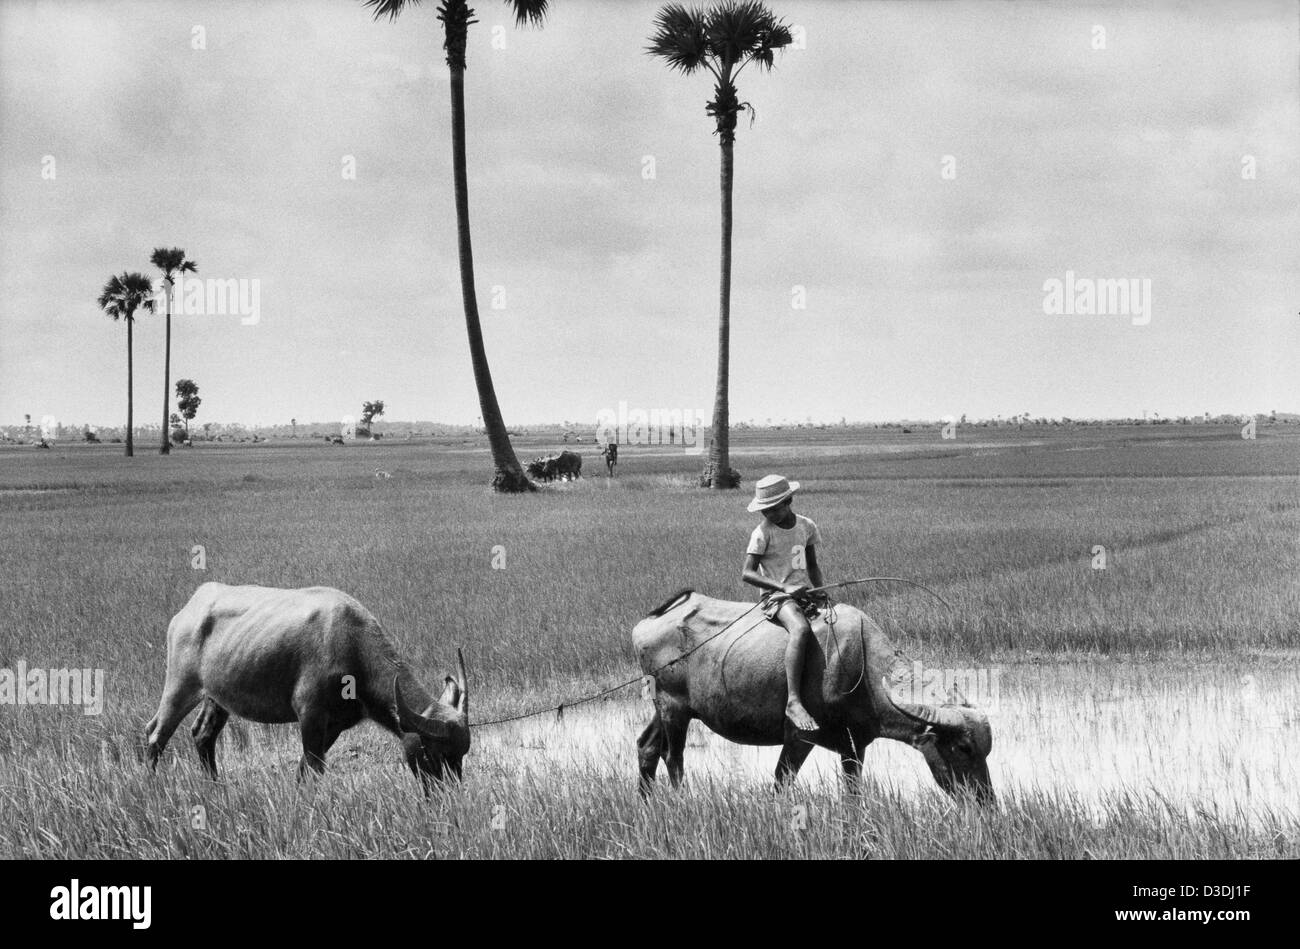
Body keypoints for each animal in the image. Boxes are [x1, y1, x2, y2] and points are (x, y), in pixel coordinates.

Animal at [145, 579, 470, 785]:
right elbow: (314, 767)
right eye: (434, 753)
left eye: (460, 755)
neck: (351, 647)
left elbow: (304, 769)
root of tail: (190, 607)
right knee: (155, 734)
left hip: (217, 697)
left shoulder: (335, 725)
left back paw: (215, 785)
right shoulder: (310, 714)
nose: (447, 793)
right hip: (179, 685)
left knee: (203, 734)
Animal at [631, 592, 993, 800]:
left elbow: (852, 792)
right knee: (673, 757)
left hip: (664, 708)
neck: (856, 665)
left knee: (647, 747)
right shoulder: (798, 737)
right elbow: (781, 782)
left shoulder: (853, 747)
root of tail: (649, 621)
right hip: (674, 708)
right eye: (963, 747)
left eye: (986, 750)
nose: (986, 801)